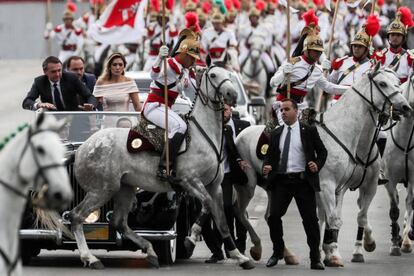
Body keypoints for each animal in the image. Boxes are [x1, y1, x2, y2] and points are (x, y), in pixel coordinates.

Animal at [68, 65, 256, 270]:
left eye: (229, 74)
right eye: (213, 75)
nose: (232, 94)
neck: (203, 135)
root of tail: (81, 147)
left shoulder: (214, 187)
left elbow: (221, 222)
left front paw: (240, 257)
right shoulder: (190, 181)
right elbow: (206, 205)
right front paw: (190, 239)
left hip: (124, 189)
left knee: (119, 222)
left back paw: (149, 251)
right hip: (102, 190)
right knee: (76, 216)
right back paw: (90, 258)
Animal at [233, 63, 410, 266]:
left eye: (397, 82)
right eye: (382, 83)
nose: (405, 107)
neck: (342, 132)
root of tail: (241, 134)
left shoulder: (342, 187)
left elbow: (341, 217)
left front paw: (331, 250)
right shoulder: (326, 185)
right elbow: (332, 219)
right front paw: (332, 253)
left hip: (271, 187)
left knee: (270, 216)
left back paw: (286, 253)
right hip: (248, 185)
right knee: (241, 212)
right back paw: (256, 247)